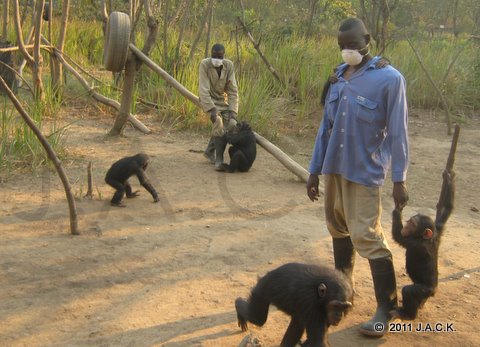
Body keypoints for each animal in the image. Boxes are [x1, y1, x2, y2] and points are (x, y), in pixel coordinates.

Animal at [390, 171, 454, 320]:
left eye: (413, 225)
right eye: (409, 221)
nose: (406, 226)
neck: (425, 238)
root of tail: (434, 290)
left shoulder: (414, 243)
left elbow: (398, 236)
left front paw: (398, 207)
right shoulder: (438, 229)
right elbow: (446, 209)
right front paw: (449, 177)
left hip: (424, 290)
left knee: (408, 291)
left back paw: (407, 314)